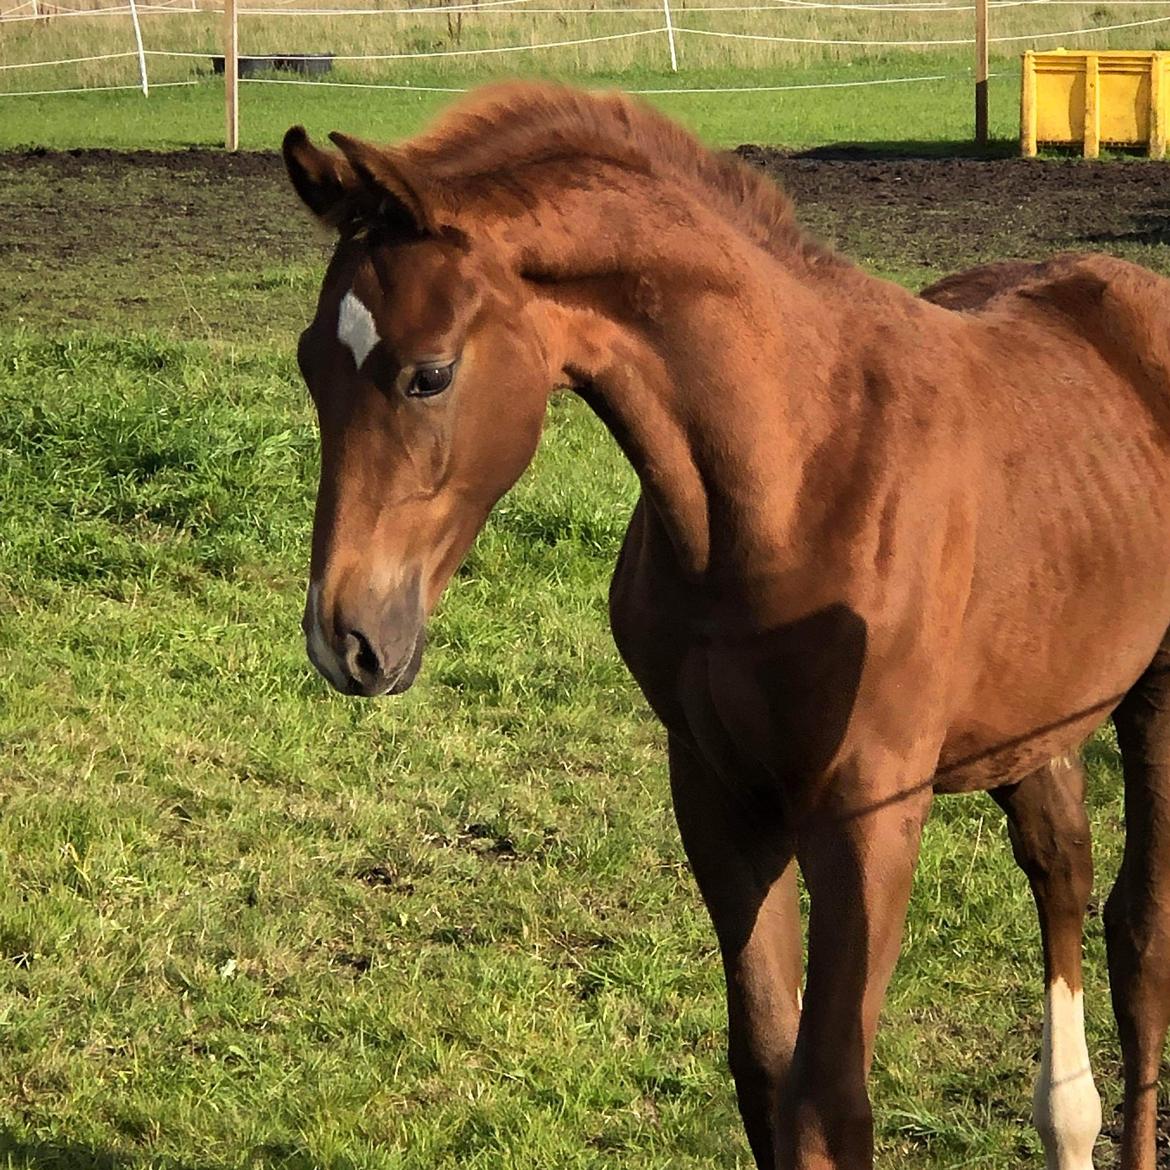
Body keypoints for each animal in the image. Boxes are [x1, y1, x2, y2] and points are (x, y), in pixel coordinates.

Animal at [280, 84, 1170, 1170]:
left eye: (430, 375)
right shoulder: (718, 795)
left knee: (1140, 941)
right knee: (1061, 869)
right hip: (1033, 712)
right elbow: (764, 1074)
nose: (346, 639)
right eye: (309, 365)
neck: (796, 471)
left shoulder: (870, 815)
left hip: (1155, 699)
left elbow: (830, 1099)